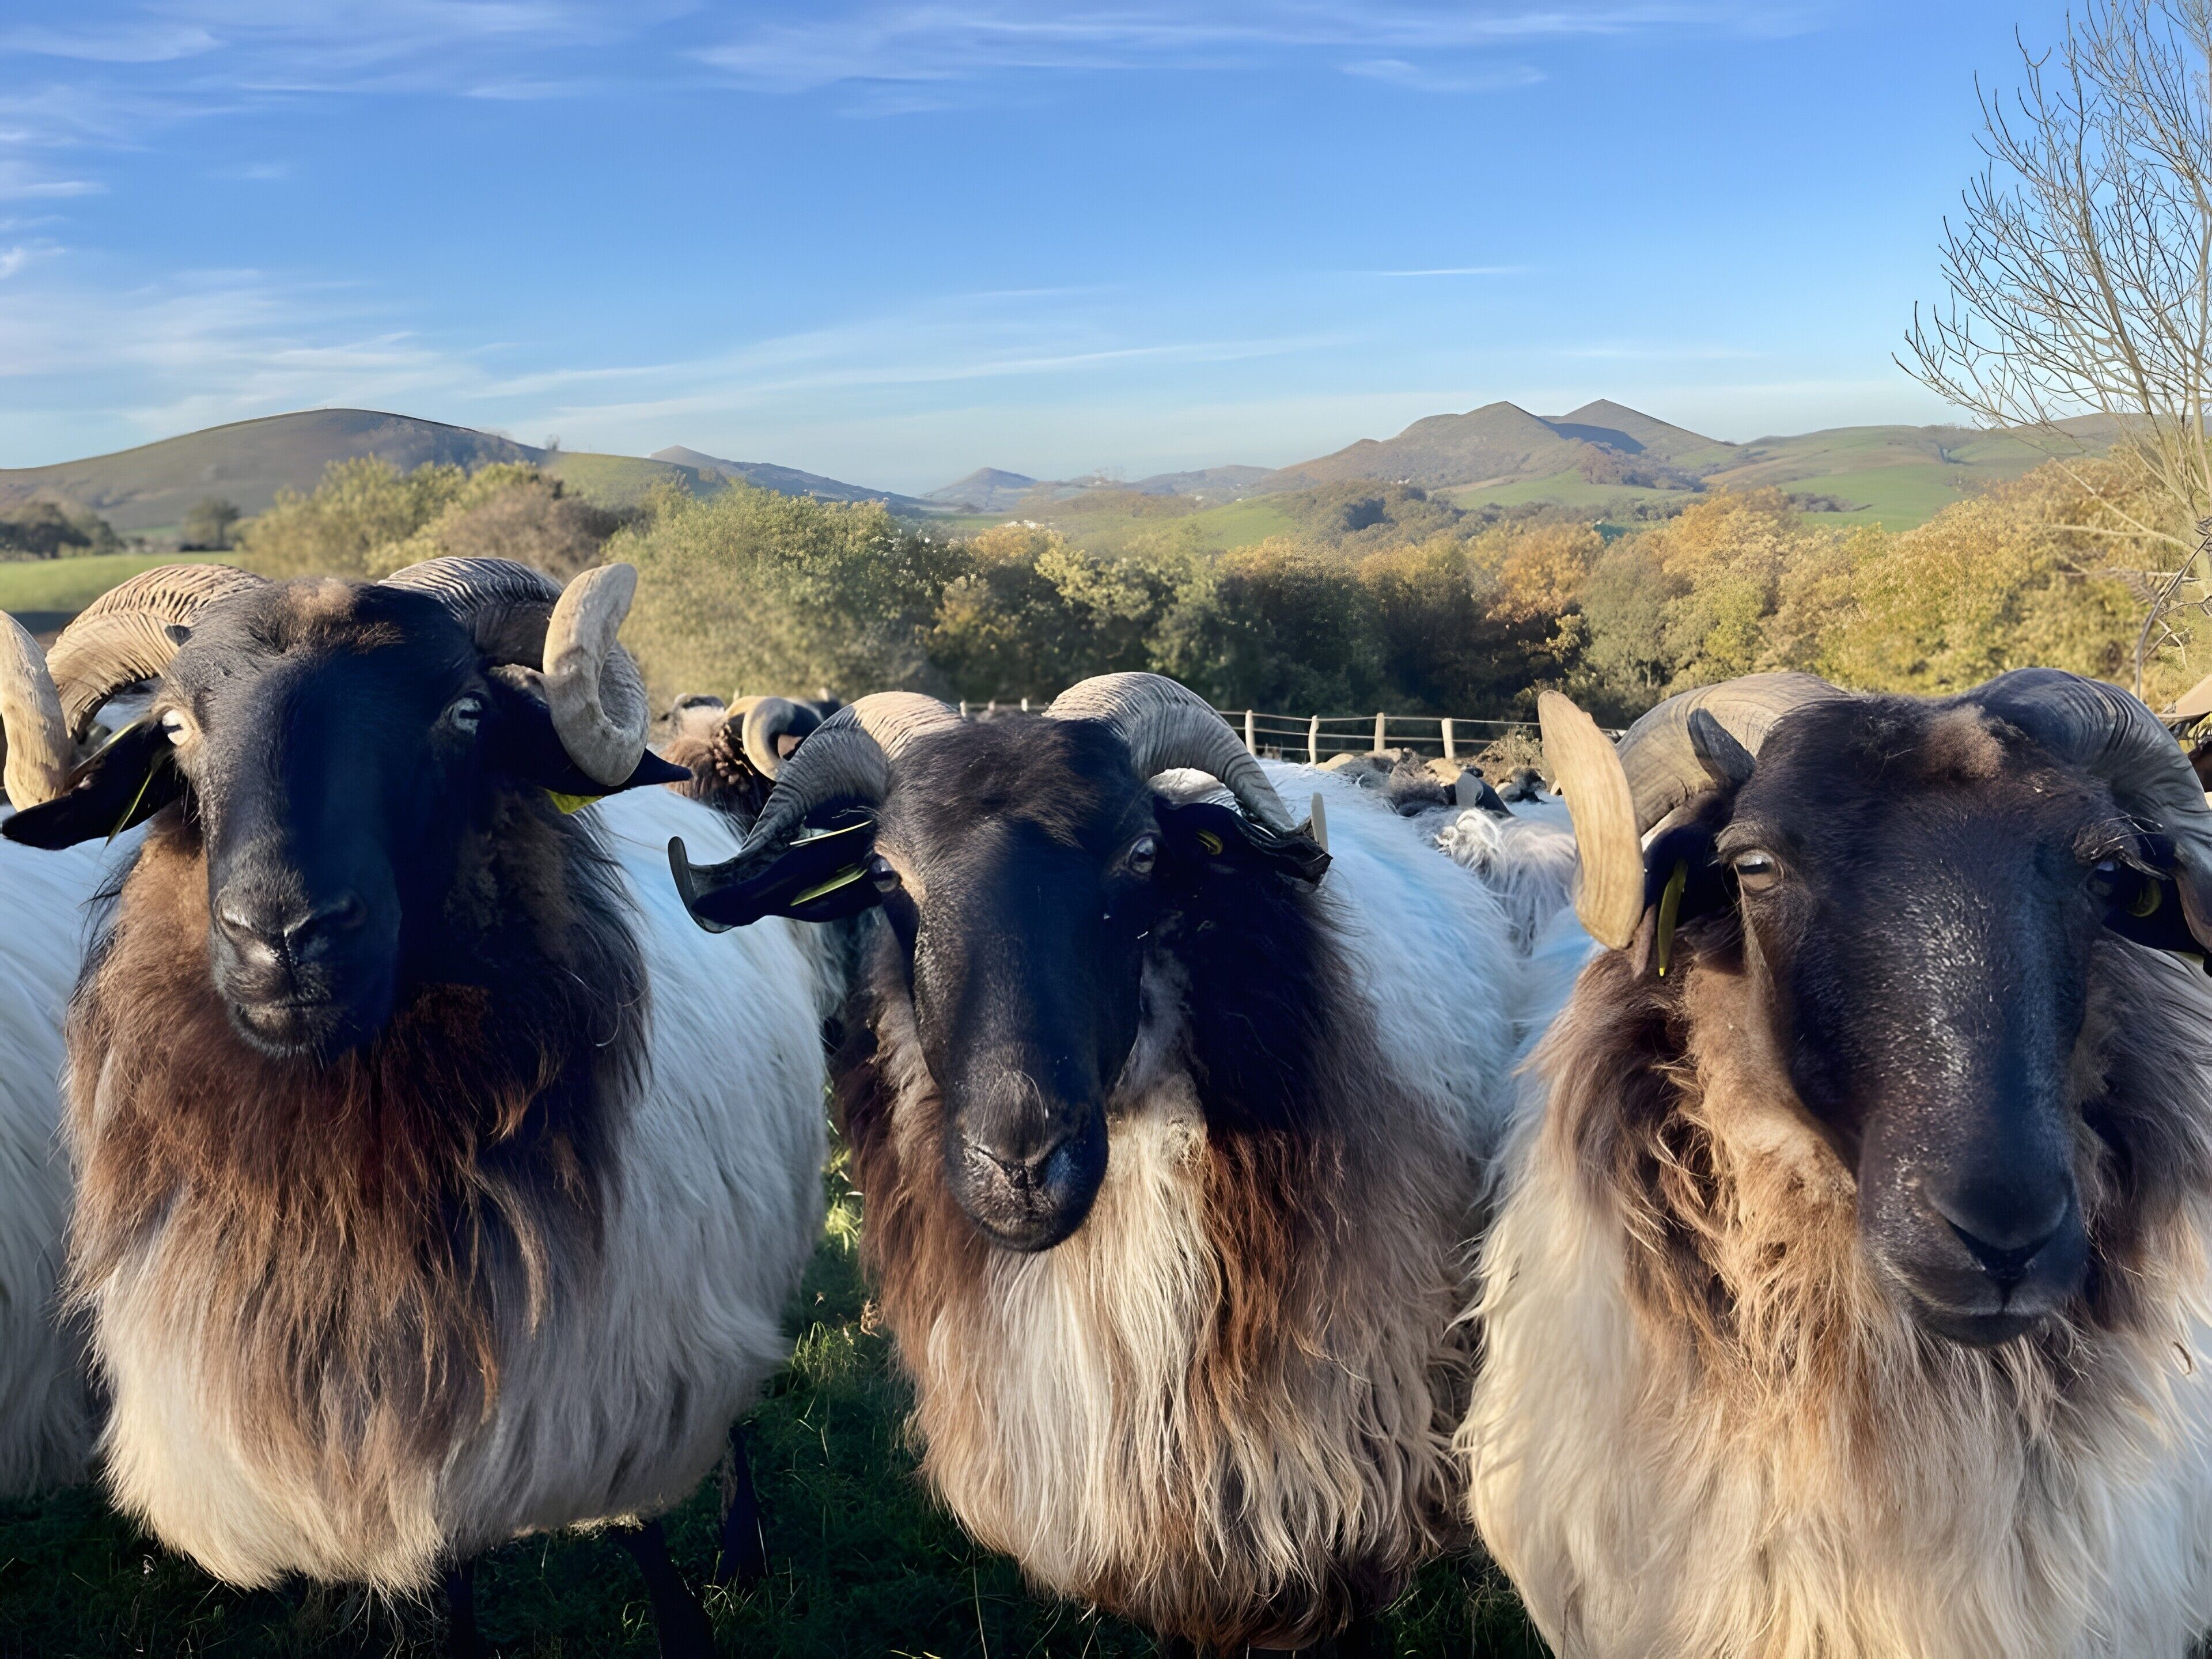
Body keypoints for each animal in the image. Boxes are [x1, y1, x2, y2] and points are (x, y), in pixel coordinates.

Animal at [0, 559, 837, 1657]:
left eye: (465, 711)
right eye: (174, 726)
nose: (283, 934)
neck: (357, 1163)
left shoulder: (610, 1362)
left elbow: (641, 1529)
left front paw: (690, 1618)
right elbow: (447, 1571)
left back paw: (744, 1551)